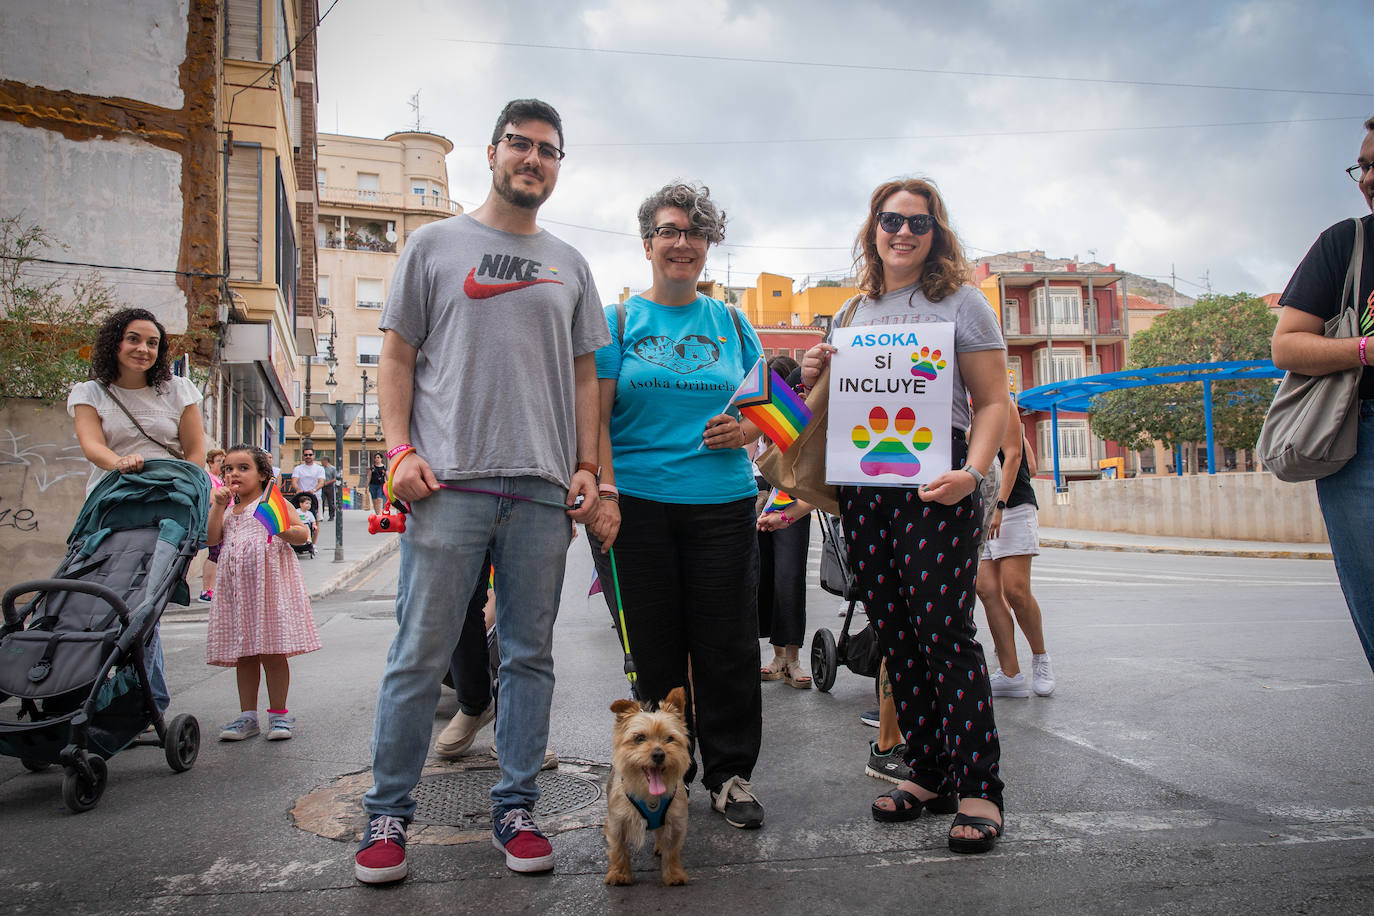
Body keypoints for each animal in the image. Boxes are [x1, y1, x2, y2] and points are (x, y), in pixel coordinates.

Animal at [607, 683, 692, 884]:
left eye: (670, 738)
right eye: (639, 738)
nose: (659, 754)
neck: (650, 796)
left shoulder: (676, 822)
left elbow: (672, 851)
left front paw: (674, 875)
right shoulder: (617, 822)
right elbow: (619, 850)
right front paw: (619, 874)